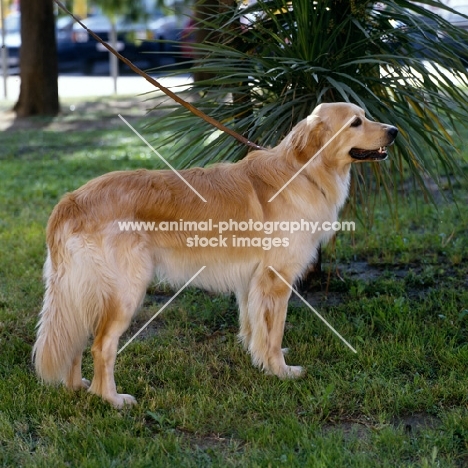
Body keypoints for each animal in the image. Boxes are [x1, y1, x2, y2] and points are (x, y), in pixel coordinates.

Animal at [33, 102, 398, 406]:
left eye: (365, 115)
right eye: (355, 122)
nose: (394, 130)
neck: (304, 170)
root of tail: (71, 201)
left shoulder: (251, 282)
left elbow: (255, 328)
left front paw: (261, 361)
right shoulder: (275, 280)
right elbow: (274, 331)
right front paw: (281, 371)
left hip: (84, 292)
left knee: (78, 339)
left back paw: (77, 386)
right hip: (126, 291)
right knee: (101, 346)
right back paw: (111, 399)